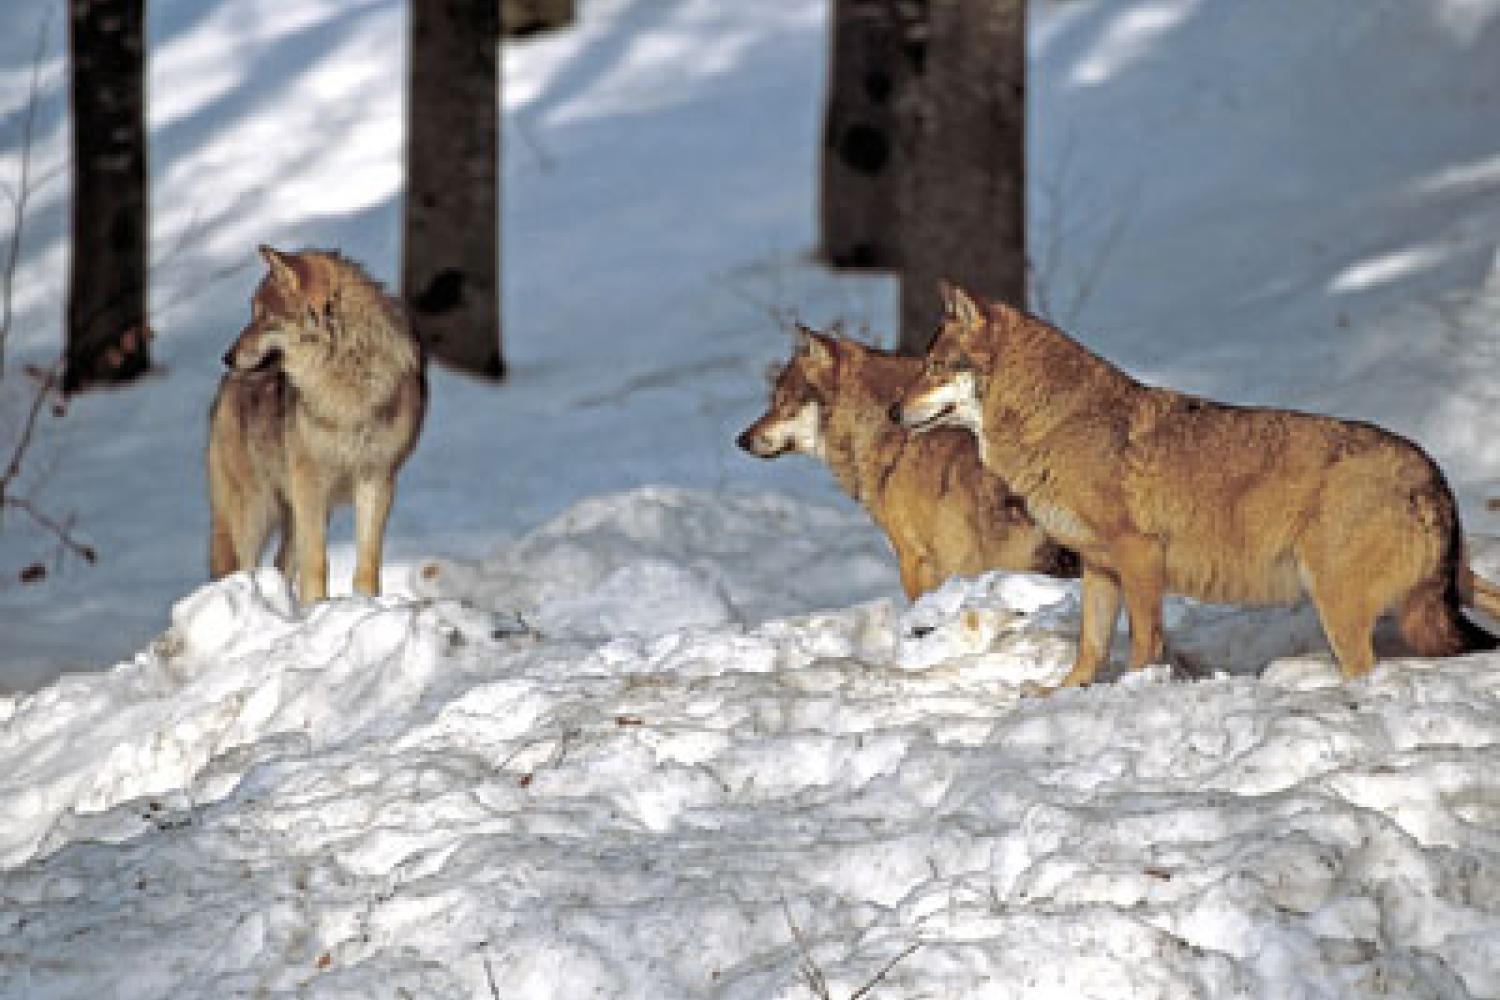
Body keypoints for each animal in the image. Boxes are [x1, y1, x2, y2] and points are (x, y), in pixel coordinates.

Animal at [205, 245, 429, 605]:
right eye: (254, 314)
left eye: (264, 316)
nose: (226, 357)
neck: (346, 380)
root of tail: (227, 384)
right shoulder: (310, 481)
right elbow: (317, 565)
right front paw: (317, 608)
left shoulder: (377, 479)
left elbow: (367, 567)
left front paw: (362, 606)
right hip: (254, 512)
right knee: (240, 569)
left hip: (294, 512)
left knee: (280, 565)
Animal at [894, 281, 1494, 689]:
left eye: (935, 367)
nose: (894, 412)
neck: (1058, 421)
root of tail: (1432, 471)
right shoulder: (1099, 567)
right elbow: (1090, 646)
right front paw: (1062, 694)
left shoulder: (1139, 556)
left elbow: (1143, 641)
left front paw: (1133, 691)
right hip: (1450, 592)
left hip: (1342, 608)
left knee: (1365, 669)